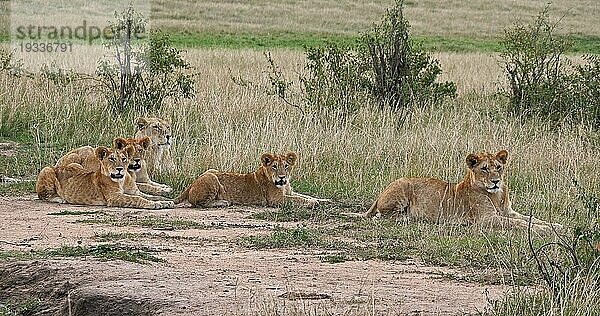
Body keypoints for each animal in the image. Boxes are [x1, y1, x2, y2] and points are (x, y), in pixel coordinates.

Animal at [36, 146, 173, 210]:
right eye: (112, 159)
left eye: (124, 159)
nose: (120, 168)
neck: (122, 180)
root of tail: (57, 166)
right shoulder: (114, 197)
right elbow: (137, 199)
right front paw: (155, 205)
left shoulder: (135, 191)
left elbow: (148, 196)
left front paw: (165, 201)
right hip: (47, 169)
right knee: (44, 196)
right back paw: (61, 199)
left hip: (75, 165)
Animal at [176, 152, 330, 209]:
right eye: (274, 166)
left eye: (286, 166)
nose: (282, 177)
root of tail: (191, 185)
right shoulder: (276, 200)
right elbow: (299, 199)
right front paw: (313, 203)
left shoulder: (289, 192)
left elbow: (305, 196)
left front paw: (324, 200)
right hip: (212, 178)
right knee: (198, 203)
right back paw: (223, 202)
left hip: (212, 170)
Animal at [364, 151, 564, 235]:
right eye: (484, 169)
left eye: (498, 167)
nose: (496, 181)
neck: (497, 195)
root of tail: (380, 194)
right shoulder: (486, 219)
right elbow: (519, 224)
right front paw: (544, 230)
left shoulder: (508, 211)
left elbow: (530, 218)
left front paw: (556, 226)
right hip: (403, 184)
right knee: (383, 215)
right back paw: (406, 218)